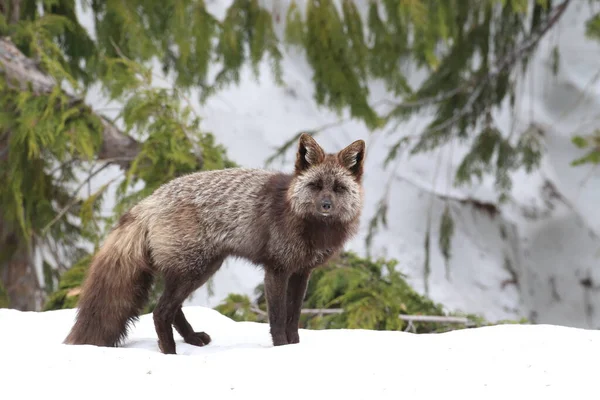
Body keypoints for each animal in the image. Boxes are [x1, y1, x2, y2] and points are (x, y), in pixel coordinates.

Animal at [64, 133, 366, 354]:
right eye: (315, 186)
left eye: (338, 189)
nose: (326, 205)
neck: (309, 226)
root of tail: (150, 200)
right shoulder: (277, 270)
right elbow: (278, 320)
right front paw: (280, 351)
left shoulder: (302, 271)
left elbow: (293, 319)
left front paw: (294, 350)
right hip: (193, 270)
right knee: (160, 312)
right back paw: (170, 353)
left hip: (200, 269)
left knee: (172, 310)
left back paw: (192, 339)